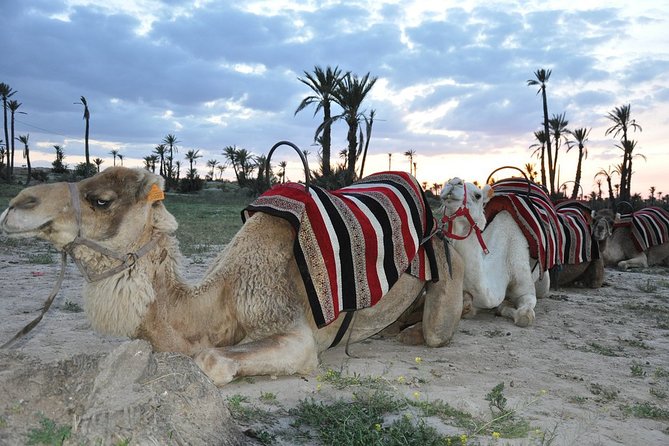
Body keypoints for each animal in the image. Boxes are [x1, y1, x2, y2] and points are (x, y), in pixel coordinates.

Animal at [0, 167, 464, 386]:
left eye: (101, 200)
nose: (17, 204)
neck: (218, 301)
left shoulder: (293, 330)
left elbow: (210, 360)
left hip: (445, 255)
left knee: (438, 327)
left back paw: (413, 332)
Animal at [439, 177, 549, 327]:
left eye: (478, 195)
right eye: (446, 184)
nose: (454, 182)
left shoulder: (526, 289)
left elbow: (524, 316)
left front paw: (504, 306)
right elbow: (467, 307)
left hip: (544, 284)